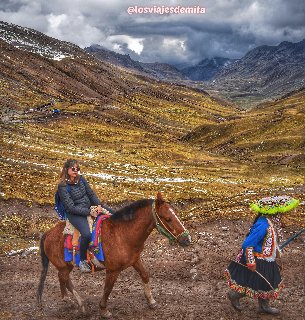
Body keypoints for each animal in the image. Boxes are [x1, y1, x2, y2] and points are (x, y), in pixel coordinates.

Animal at [36, 191, 190, 318]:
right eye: (168, 219)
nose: (187, 239)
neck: (122, 234)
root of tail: (48, 233)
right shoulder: (113, 270)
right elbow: (108, 288)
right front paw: (104, 310)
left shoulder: (135, 260)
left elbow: (145, 275)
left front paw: (151, 301)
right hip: (64, 266)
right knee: (64, 278)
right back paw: (80, 305)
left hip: (66, 266)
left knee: (63, 278)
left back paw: (67, 300)